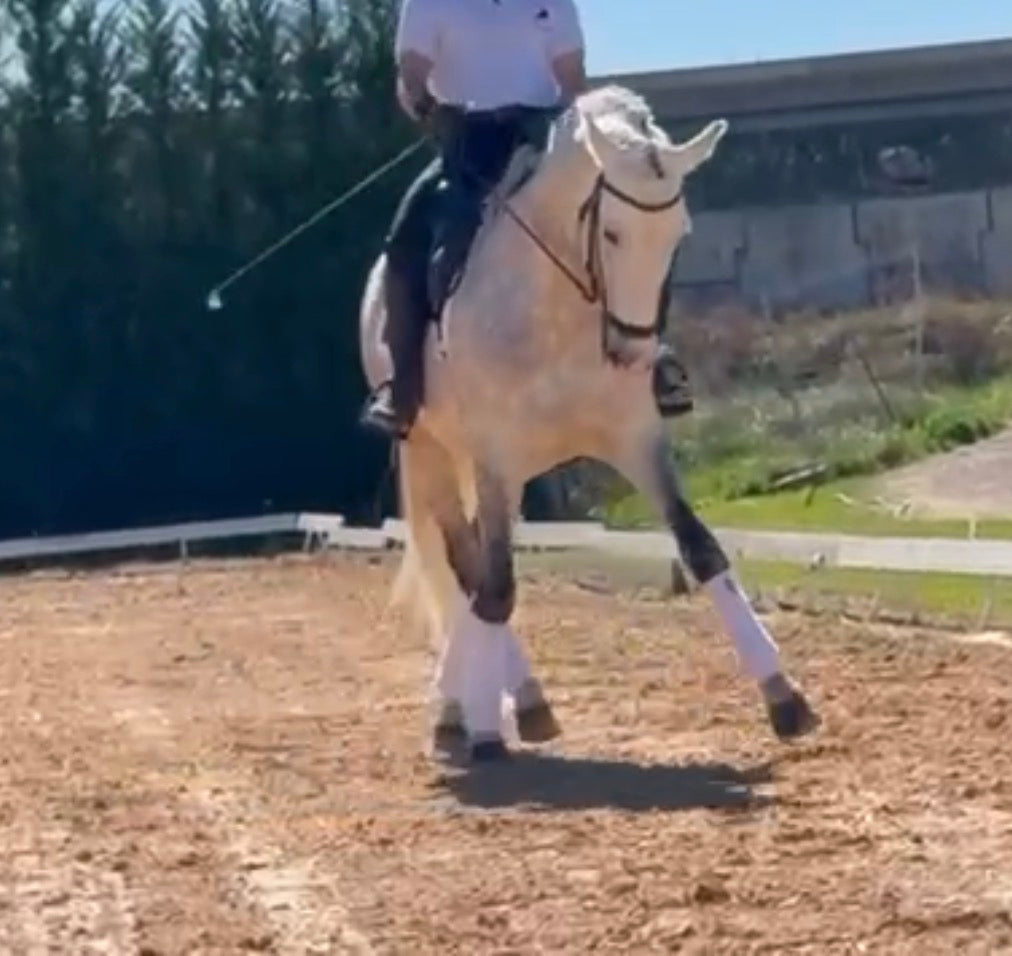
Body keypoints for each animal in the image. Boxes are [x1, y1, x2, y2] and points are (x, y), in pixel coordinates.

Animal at [359, 84, 820, 762]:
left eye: (678, 235)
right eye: (612, 232)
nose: (631, 350)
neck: (559, 310)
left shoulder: (636, 440)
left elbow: (701, 550)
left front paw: (783, 695)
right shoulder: (494, 455)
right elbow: (496, 587)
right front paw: (483, 728)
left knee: (474, 577)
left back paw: (513, 704)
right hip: (431, 452)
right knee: (469, 570)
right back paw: (463, 711)